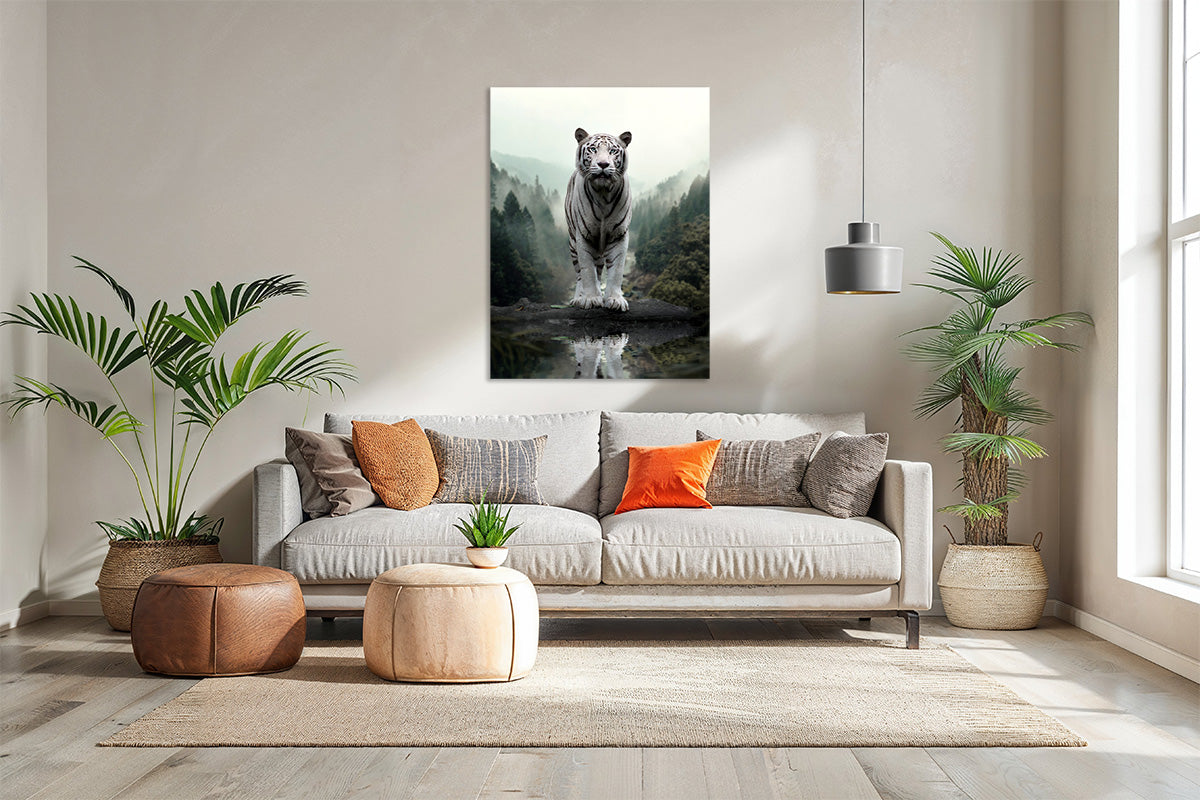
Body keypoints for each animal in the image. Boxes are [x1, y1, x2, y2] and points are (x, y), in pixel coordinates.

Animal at [565, 128, 633, 312]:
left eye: (613, 151)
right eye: (593, 149)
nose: (603, 164)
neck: (603, 194)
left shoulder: (619, 234)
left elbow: (617, 270)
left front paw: (615, 300)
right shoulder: (584, 235)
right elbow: (587, 270)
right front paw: (591, 299)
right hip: (572, 243)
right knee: (580, 274)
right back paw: (578, 298)